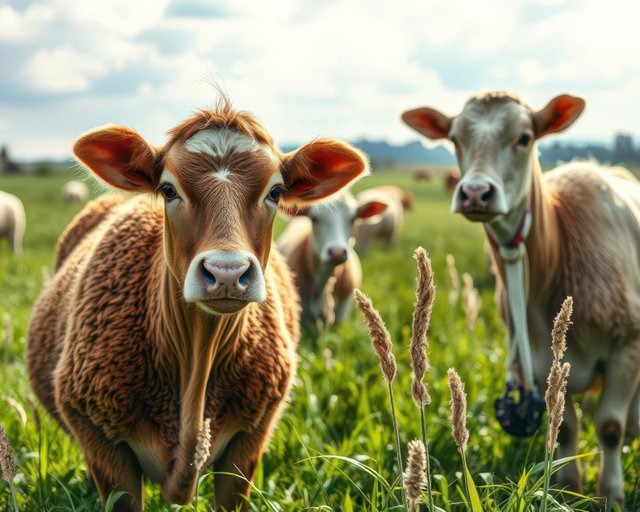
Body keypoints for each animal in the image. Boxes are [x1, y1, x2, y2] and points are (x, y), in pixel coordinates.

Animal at [402, 90, 640, 506]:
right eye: (455, 139)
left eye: (525, 138)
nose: (475, 192)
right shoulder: (541, 359)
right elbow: (564, 430)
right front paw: (568, 494)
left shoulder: (627, 345)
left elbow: (610, 426)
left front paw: (612, 497)